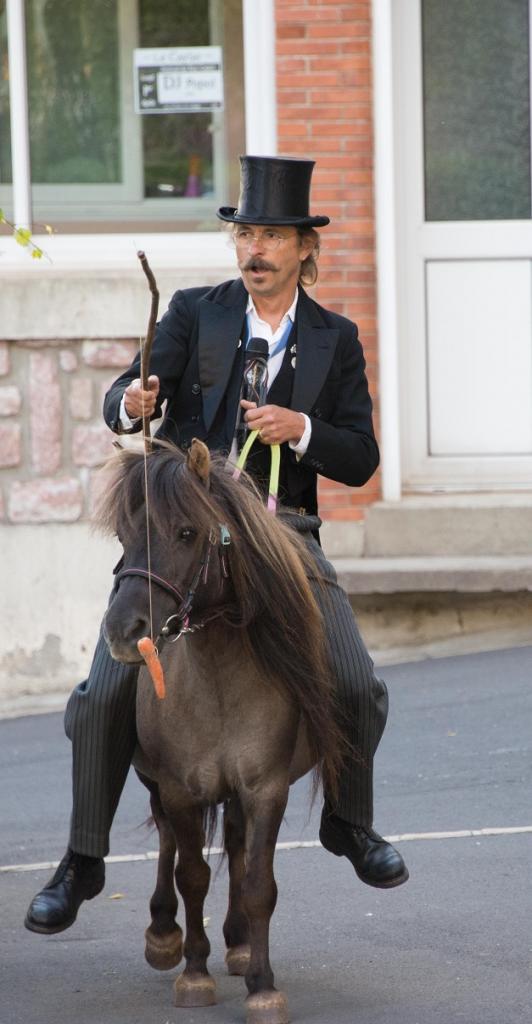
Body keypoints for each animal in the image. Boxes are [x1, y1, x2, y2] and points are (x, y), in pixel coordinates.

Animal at [97, 438, 343, 1024]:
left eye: (187, 532)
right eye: (122, 535)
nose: (122, 631)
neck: (217, 676)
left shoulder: (265, 788)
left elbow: (257, 883)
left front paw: (262, 984)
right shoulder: (180, 789)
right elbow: (191, 875)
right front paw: (193, 973)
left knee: (233, 844)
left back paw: (239, 943)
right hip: (156, 782)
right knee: (168, 842)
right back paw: (164, 935)